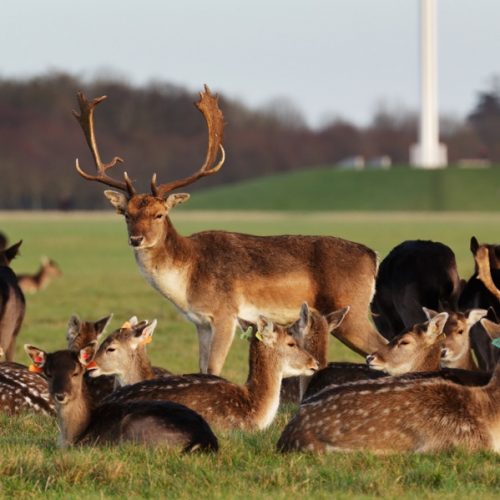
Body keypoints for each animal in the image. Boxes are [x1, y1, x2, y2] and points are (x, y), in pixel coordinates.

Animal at [24, 342, 217, 452]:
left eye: (76, 372)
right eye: (48, 374)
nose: (60, 395)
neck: (73, 435)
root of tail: (205, 439)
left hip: (136, 427)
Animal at [71, 87, 386, 376]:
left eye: (159, 214)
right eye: (126, 215)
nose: (136, 239)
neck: (188, 279)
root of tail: (373, 256)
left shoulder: (225, 313)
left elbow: (213, 368)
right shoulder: (199, 322)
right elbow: (201, 367)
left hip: (352, 310)